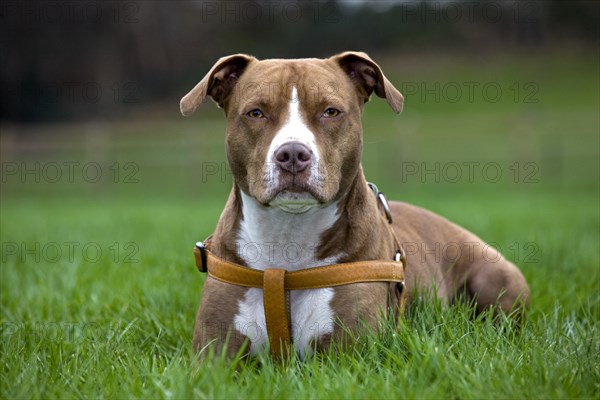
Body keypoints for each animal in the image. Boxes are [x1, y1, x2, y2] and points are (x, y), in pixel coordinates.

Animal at [179, 50, 528, 360]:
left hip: (494, 277)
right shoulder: (214, 358)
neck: (287, 238)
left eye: (331, 111)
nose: (292, 154)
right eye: (255, 113)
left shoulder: (349, 356)